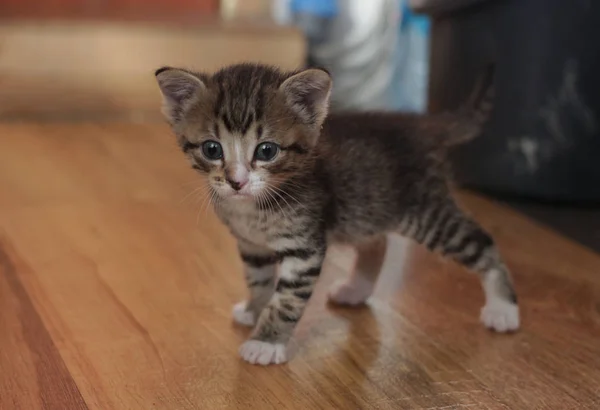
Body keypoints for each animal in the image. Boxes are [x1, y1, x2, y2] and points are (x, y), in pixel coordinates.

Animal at [156, 63, 520, 366]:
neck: (253, 206)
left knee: (482, 243)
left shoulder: (305, 247)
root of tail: (417, 123)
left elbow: (287, 299)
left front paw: (266, 342)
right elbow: (259, 280)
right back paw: (357, 288)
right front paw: (255, 308)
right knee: (377, 242)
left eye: (267, 150)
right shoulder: (251, 245)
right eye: (212, 149)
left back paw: (503, 308)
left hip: (426, 213)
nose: (236, 181)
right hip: (369, 206)